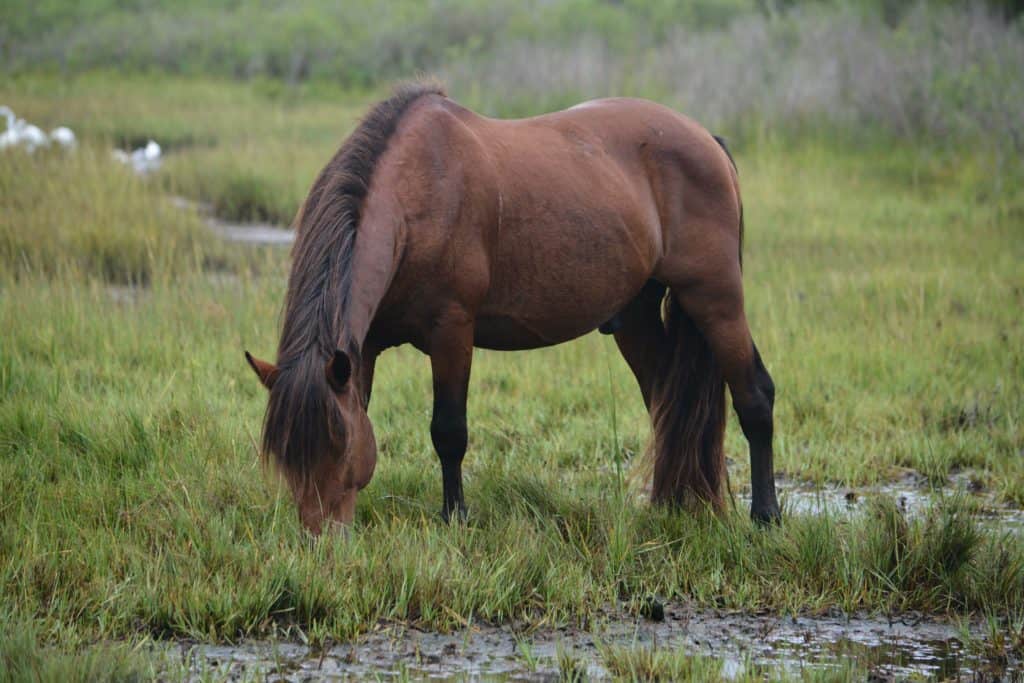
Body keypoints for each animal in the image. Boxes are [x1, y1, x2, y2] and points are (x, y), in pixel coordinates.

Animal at [245, 82, 780, 534]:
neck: (419, 197)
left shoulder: (452, 331)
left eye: (338, 446)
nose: (321, 539)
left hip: (715, 299)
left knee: (754, 395)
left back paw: (765, 516)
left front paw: (455, 517)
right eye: (285, 454)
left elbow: (449, 430)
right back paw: (669, 505)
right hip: (638, 317)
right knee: (666, 404)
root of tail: (707, 141)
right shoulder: (366, 347)